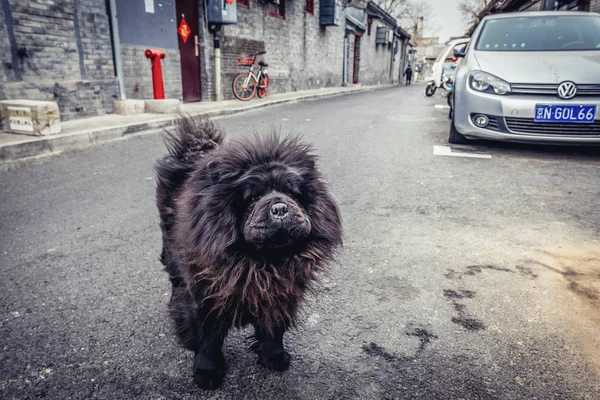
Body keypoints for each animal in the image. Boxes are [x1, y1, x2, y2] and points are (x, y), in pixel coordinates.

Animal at [155, 117, 342, 390]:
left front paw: (274, 358)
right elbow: (208, 339)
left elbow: (273, 329)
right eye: (252, 197)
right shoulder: (206, 296)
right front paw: (207, 373)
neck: (262, 262)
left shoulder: (280, 293)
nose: (280, 207)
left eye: (292, 194)